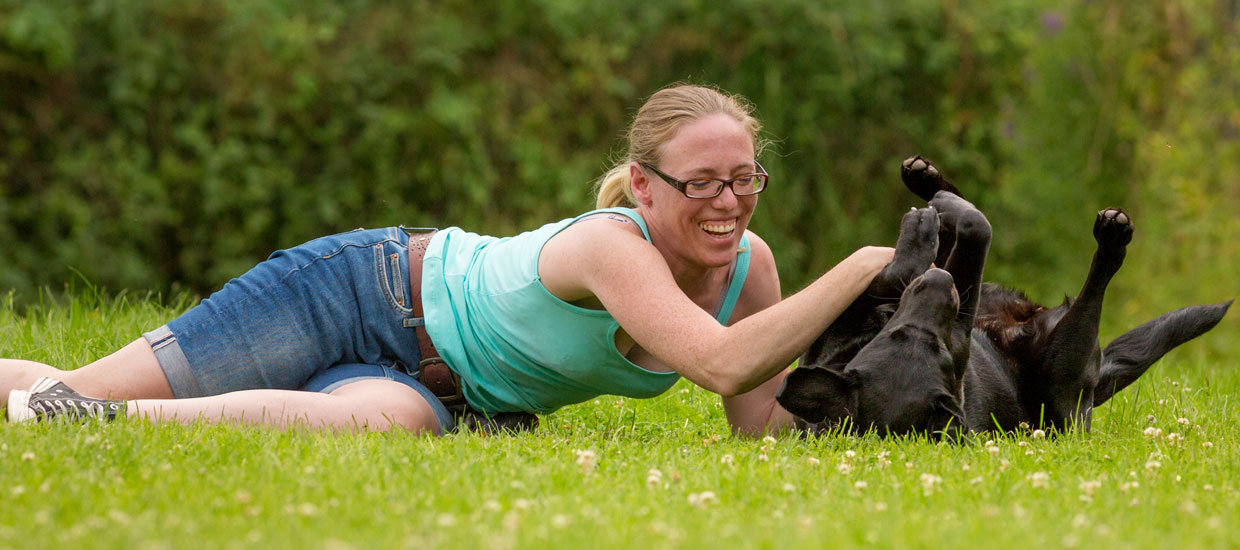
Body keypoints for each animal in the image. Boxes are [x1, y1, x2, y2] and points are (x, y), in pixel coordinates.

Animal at [773, 156, 1230, 436]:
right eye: (937, 351)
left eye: (896, 335)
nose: (940, 285)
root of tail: (1096, 384)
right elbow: (978, 227)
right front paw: (926, 228)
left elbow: (923, 258)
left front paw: (927, 222)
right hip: (1065, 364)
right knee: (1096, 281)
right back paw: (1113, 235)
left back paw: (927, 179)